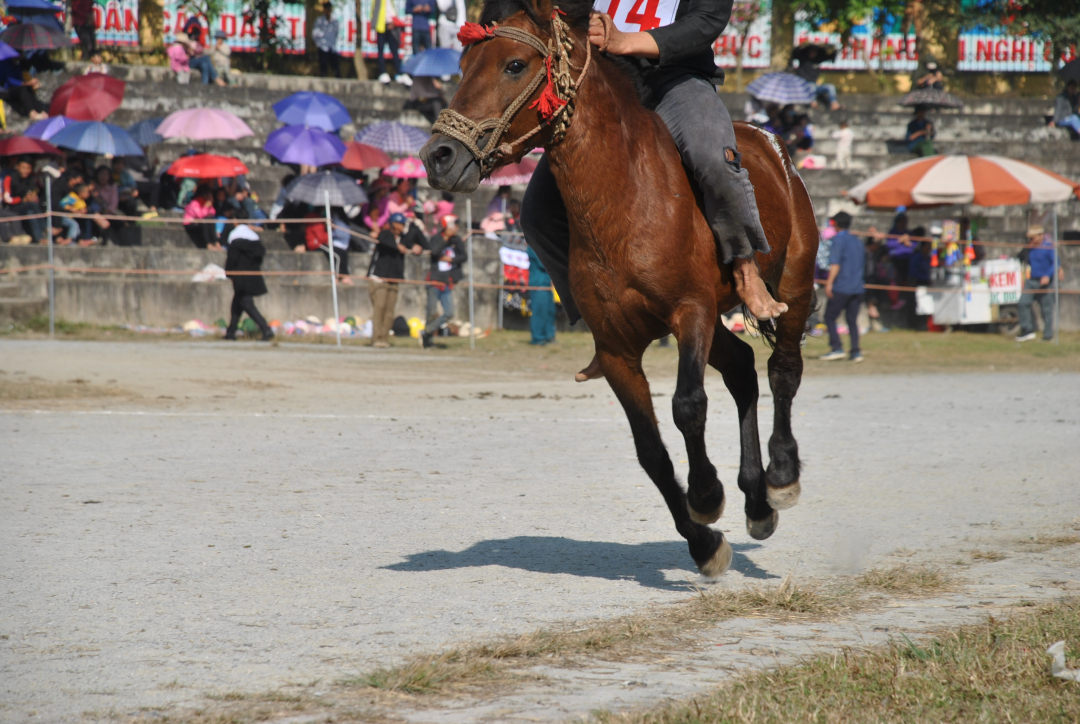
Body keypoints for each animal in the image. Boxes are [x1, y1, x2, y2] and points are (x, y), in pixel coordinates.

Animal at [421, 0, 816, 583]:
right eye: (465, 62)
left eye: (514, 65)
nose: (439, 156)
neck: (626, 198)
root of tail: (772, 148)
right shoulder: (615, 349)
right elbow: (650, 450)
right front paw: (705, 543)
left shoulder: (691, 312)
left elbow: (687, 406)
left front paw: (706, 494)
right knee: (743, 368)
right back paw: (757, 502)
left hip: (793, 284)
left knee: (783, 370)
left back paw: (782, 476)